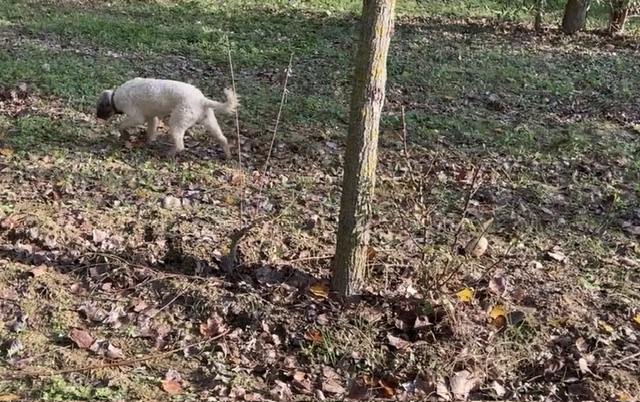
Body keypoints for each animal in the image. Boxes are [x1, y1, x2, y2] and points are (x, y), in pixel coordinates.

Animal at [95, 77, 238, 158]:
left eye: (99, 107)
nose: (97, 116)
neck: (115, 97)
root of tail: (202, 100)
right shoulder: (151, 118)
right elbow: (151, 131)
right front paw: (149, 142)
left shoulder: (136, 116)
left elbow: (121, 125)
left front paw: (124, 134)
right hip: (210, 121)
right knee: (222, 139)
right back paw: (227, 155)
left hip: (177, 122)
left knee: (180, 145)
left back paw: (169, 154)